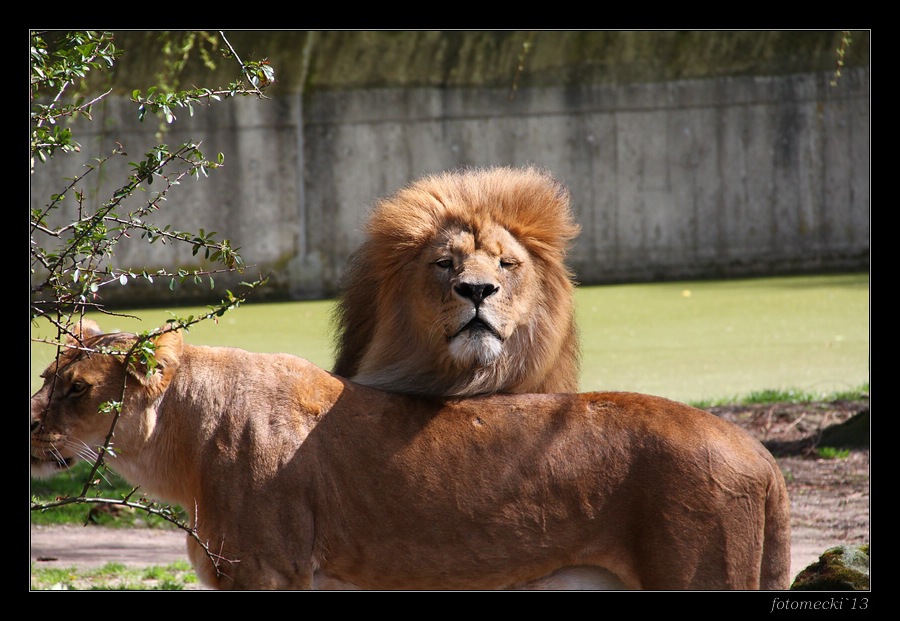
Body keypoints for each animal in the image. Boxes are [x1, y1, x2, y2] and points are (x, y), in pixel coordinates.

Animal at [31, 322, 792, 588]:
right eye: (46, 377)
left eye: (75, 389)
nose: (29, 423)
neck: (181, 451)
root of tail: (758, 450)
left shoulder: (270, 573)